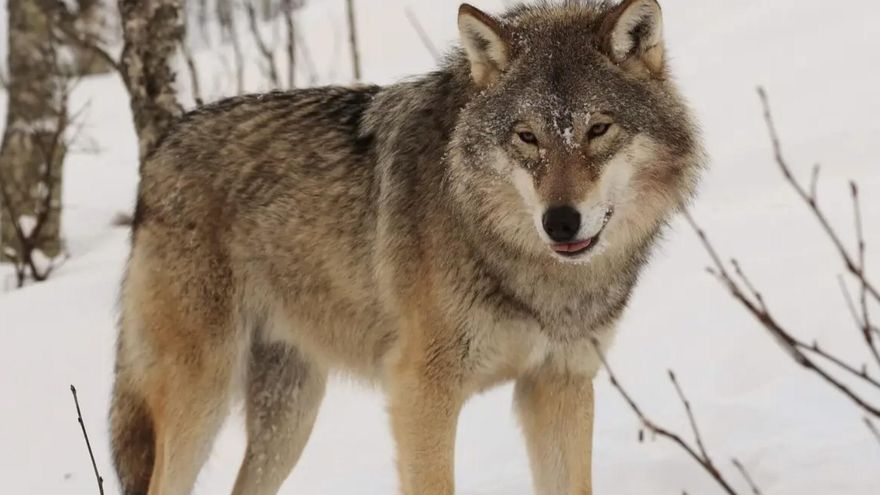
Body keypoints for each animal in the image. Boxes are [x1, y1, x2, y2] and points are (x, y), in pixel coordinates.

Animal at [110, 1, 703, 494]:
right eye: (527, 136)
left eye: (599, 128)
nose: (560, 222)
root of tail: (160, 151)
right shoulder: (421, 393)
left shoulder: (559, 383)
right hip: (202, 397)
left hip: (290, 415)